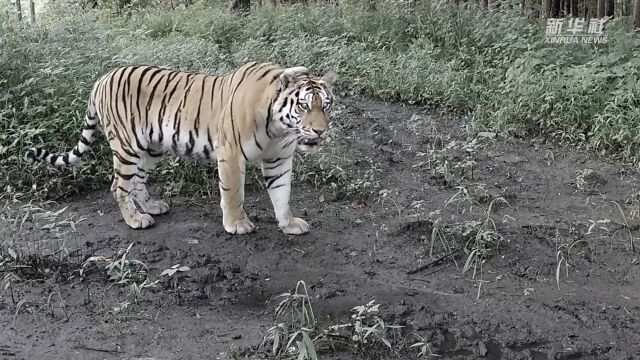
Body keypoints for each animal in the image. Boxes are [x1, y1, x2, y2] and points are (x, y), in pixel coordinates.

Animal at [25, 61, 338, 236]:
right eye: (304, 106)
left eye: (326, 105)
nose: (320, 131)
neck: (278, 128)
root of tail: (101, 79)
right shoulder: (231, 153)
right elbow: (233, 193)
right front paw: (237, 224)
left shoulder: (279, 158)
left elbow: (282, 192)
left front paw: (288, 223)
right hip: (127, 146)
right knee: (119, 186)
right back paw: (135, 219)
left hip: (149, 147)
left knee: (138, 181)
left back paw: (151, 206)